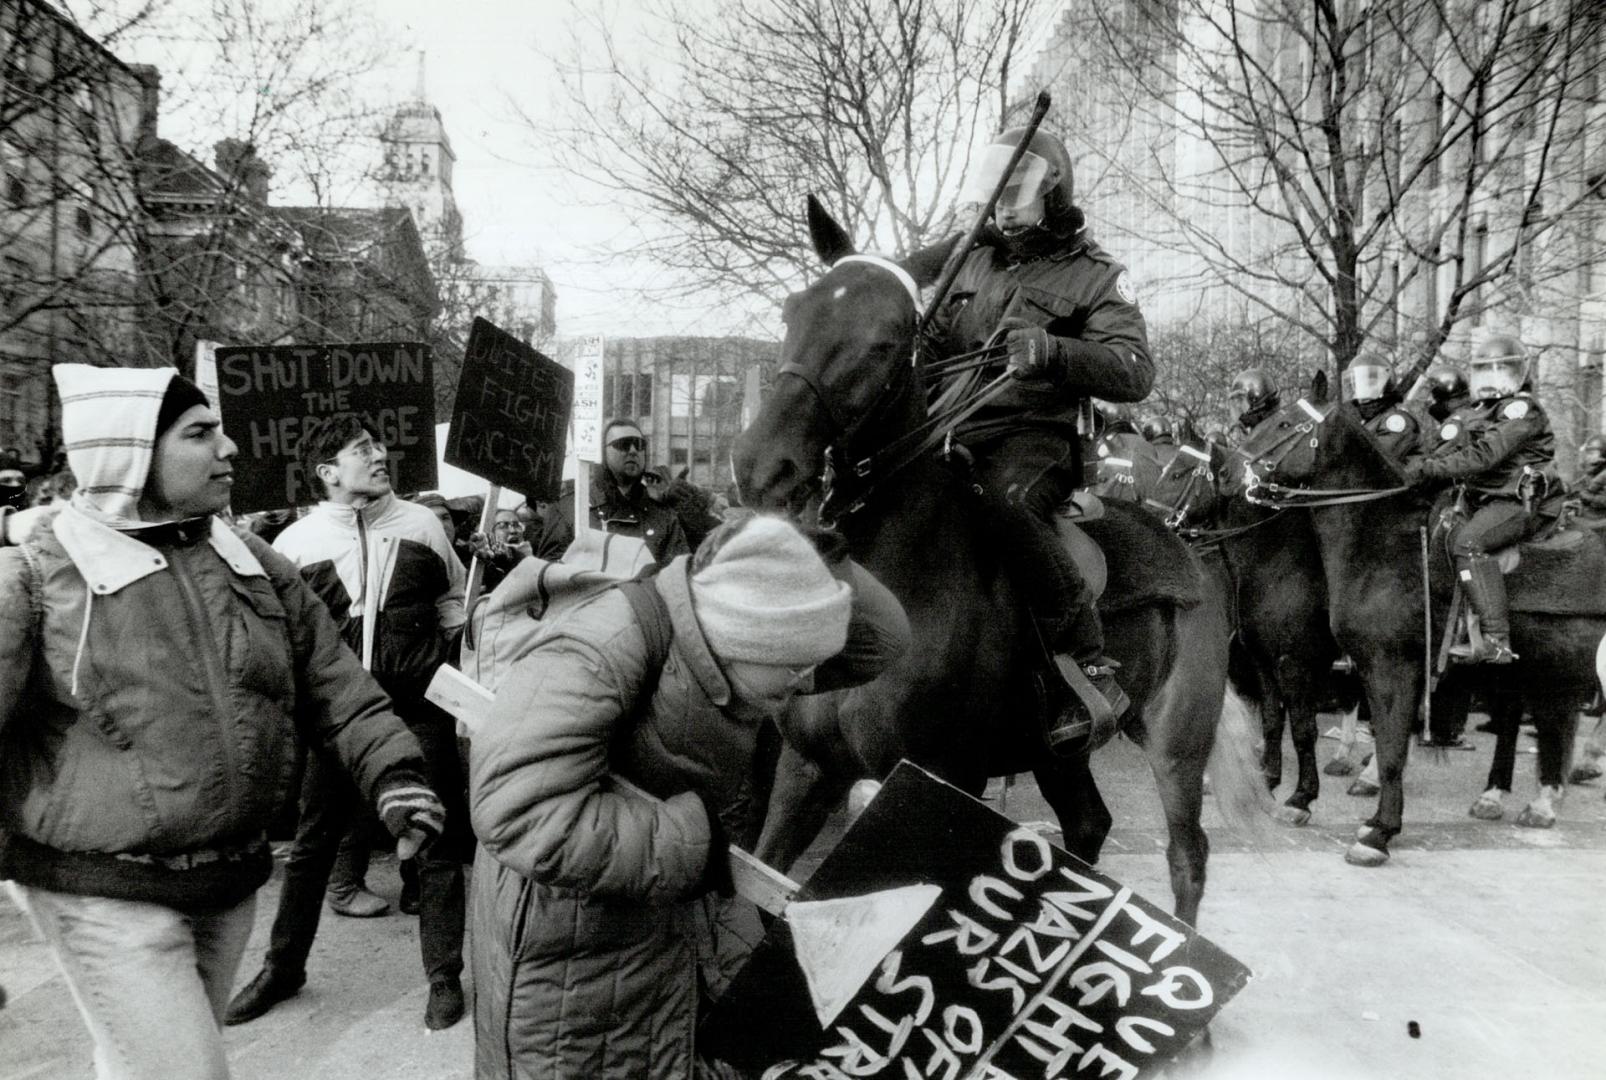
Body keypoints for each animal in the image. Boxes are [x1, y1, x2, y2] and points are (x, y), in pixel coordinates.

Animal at [732, 198, 1265, 925]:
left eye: (888, 340)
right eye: (794, 311)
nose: (764, 466)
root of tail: (1193, 548)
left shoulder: (935, 784)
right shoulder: (807, 770)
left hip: (1177, 742)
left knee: (1187, 856)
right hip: (1056, 750)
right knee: (1087, 827)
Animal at [1233, 388, 1599, 861]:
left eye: (1284, 424)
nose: (1233, 467)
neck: (1384, 548)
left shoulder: (1383, 667)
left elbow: (1383, 747)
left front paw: (1377, 832)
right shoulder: (1341, 666)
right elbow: (1348, 733)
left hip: (1558, 671)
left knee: (1556, 728)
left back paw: (1544, 799)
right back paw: (1502, 797)